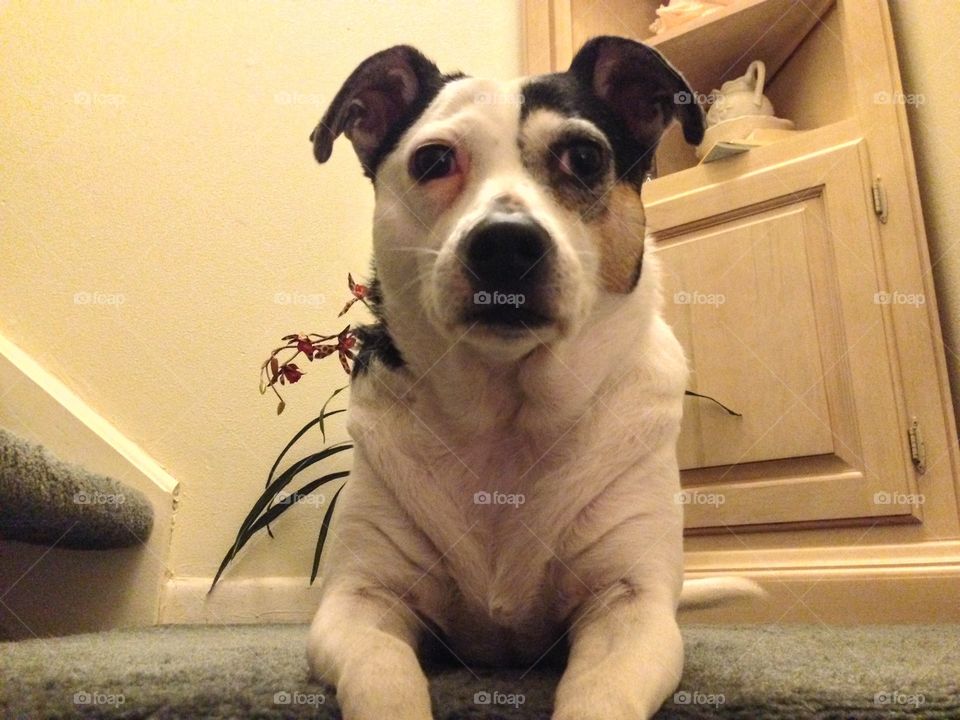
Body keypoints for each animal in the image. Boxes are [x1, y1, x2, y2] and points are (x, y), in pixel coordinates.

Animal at [306, 35, 756, 720]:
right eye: (433, 160)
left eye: (585, 156)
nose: (505, 245)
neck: (505, 409)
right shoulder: (360, 600)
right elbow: (382, 671)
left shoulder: (630, 606)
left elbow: (600, 692)